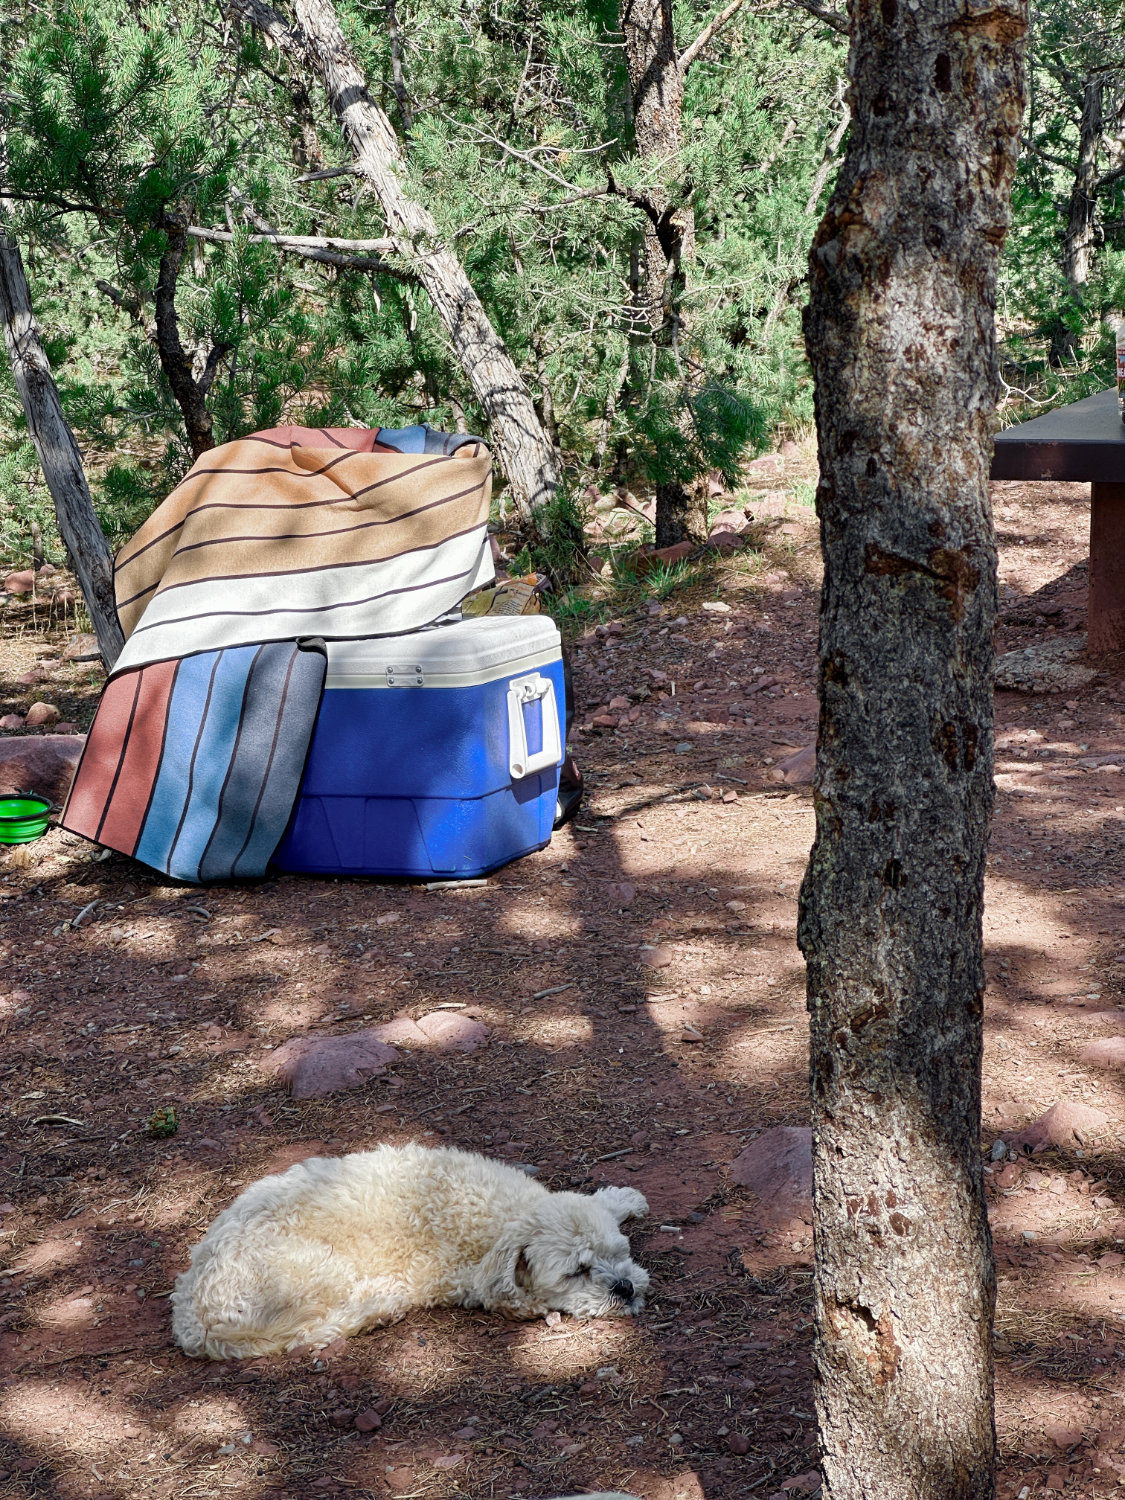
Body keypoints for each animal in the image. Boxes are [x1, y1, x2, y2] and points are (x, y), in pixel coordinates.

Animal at [171, 1146, 648, 1362]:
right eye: (576, 1271)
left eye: (618, 1253)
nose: (625, 1288)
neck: (503, 1216)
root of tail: (193, 1316)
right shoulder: (460, 1275)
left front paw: (621, 1199)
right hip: (316, 1271)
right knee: (314, 1330)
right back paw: (381, 1305)